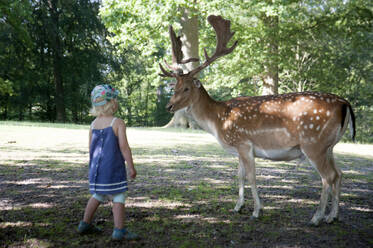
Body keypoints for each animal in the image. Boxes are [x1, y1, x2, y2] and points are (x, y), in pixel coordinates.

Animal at [158, 14, 354, 226]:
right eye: (175, 86)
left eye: (186, 88)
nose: (169, 106)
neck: (218, 120)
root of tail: (344, 103)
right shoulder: (238, 149)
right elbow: (240, 176)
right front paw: (238, 207)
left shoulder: (244, 143)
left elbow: (252, 177)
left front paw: (257, 211)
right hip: (329, 146)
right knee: (339, 174)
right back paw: (332, 216)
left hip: (313, 144)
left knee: (328, 177)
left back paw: (316, 217)